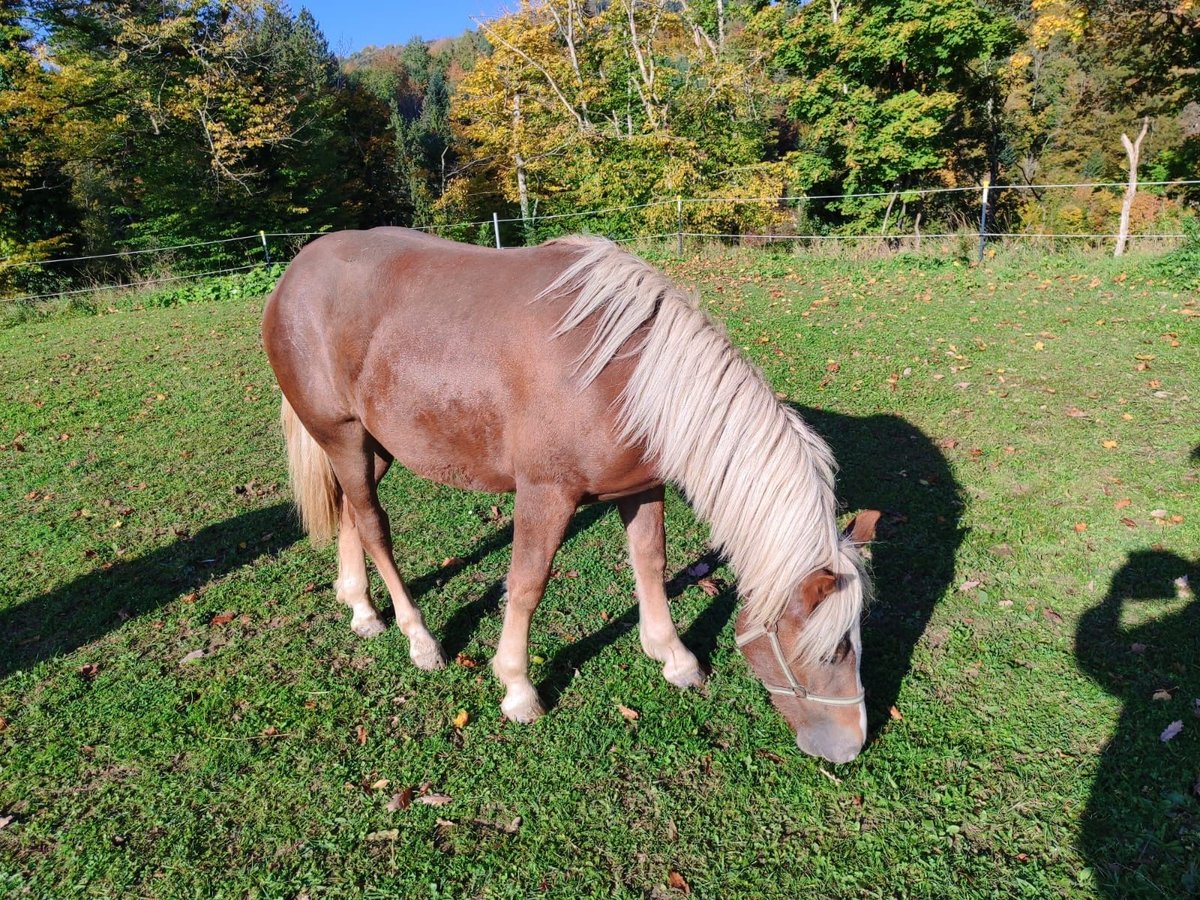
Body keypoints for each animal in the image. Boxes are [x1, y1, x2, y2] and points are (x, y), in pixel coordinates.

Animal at [261, 228, 879, 764]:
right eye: (831, 651)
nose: (850, 746)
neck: (627, 377)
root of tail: (294, 273)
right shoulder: (545, 493)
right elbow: (527, 584)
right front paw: (517, 688)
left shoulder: (642, 486)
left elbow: (650, 563)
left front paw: (673, 656)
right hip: (341, 435)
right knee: (374, 525)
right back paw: (420, 640)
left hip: (373, 445)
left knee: (350, 511)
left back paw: (362, 608)